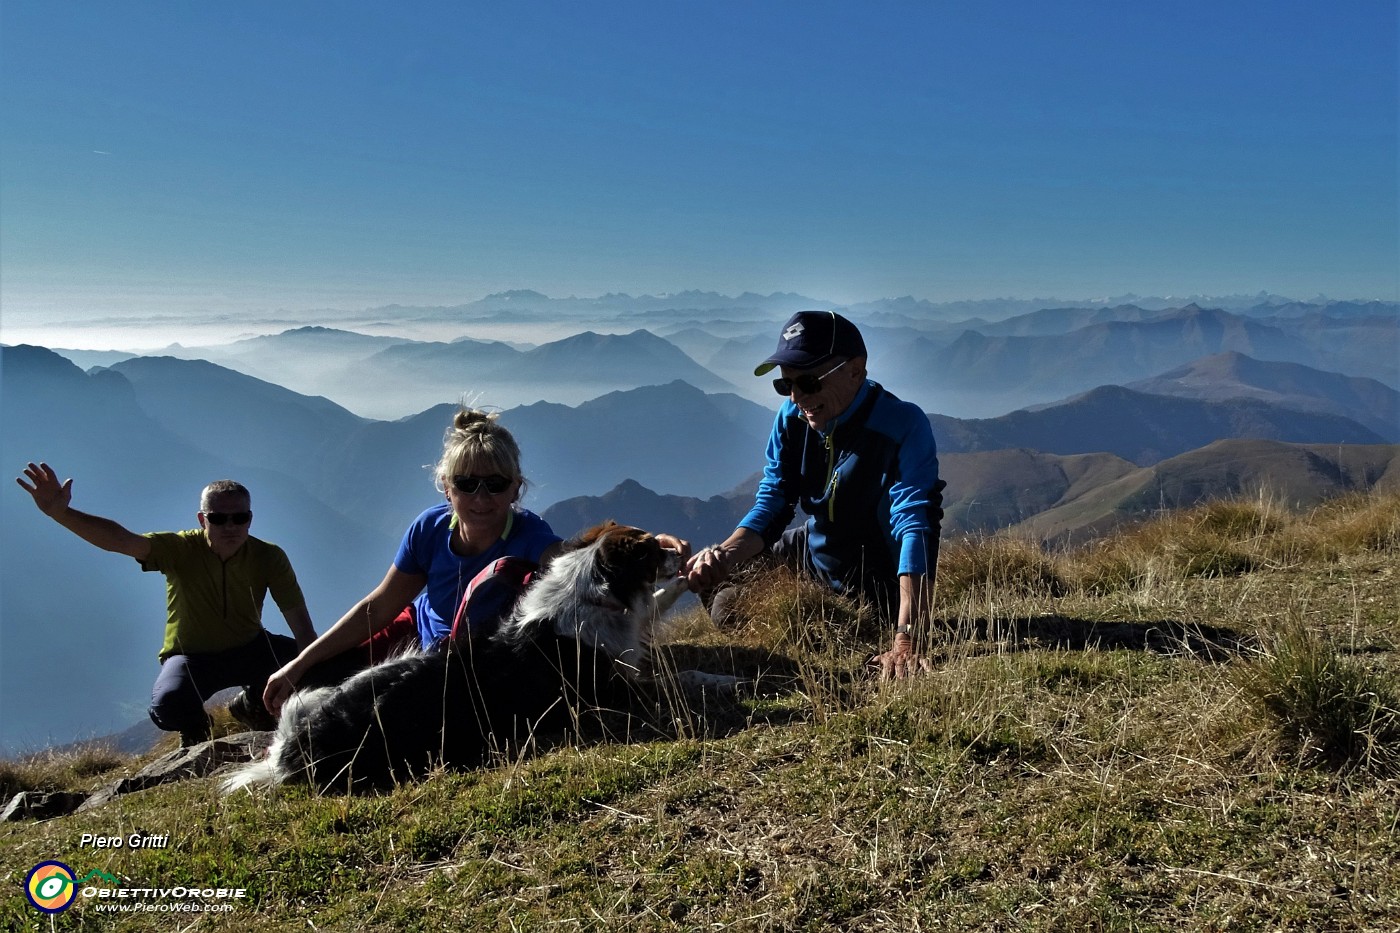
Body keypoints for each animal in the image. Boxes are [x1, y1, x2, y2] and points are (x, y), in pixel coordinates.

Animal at [226, 518, 700, 790]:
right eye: (652, 549)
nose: (681, 550)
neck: (587, 593)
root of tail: (291, 752)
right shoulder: (607, 692)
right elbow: (665, 675)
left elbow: (653, 609)